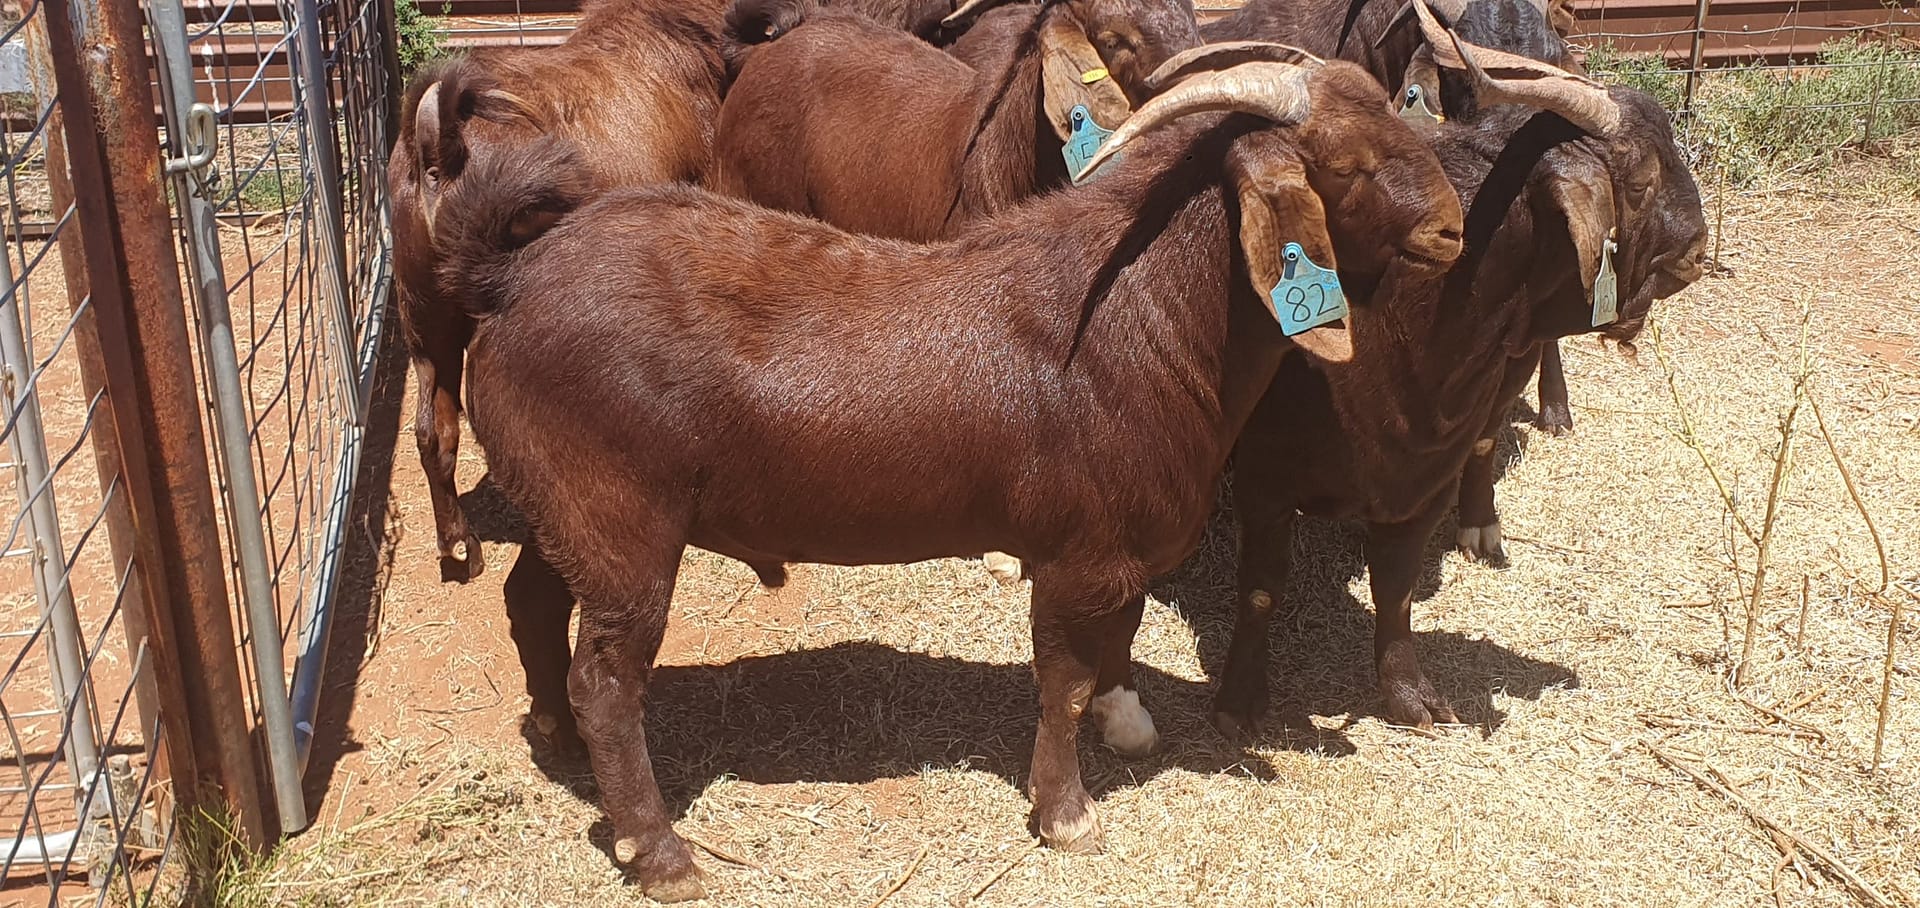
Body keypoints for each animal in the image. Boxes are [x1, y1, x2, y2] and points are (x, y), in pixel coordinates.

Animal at [432, 53, 1451, 894]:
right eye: (1347, 165)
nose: (1449, 227)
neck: (1140, 317)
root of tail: (508, 277)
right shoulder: (1072, 553)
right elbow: (1061, 681)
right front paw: (1066, 815)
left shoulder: (1119, 547)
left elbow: (1119, 639)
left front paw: (1127, 722)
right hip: (624, 523)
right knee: (608, 682)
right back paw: (660, 852)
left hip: (567, 505)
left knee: (531, 604)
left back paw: (559, 742)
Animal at [1213, 12, 1712, 737]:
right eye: (1641, 180)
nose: (1699, 247)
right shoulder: (1265, 472)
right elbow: (1258, 589)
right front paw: (1241, 701)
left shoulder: (1425, 477)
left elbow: (1395, 586)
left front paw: (1408, 693)